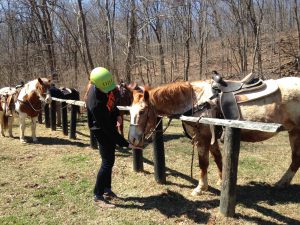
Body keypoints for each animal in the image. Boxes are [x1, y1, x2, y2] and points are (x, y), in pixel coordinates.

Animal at [127, 77, 300, 195]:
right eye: (129, 111)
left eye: (142, 111)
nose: (133, 139)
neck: (195, 100)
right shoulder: (211, 138)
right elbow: (218, 158)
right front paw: (222, 180)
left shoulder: (202, 138)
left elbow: (203, 163)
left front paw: (200, 188)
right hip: (294, 132)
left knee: (295, 160)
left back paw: (281, 183)